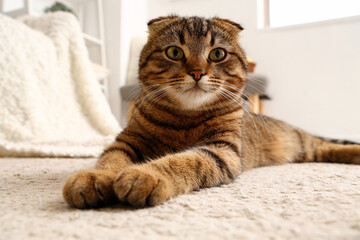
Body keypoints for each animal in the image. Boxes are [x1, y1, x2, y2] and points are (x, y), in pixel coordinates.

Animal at [63, 15, 360, 209]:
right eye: (174, 52)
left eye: (217, 54)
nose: (197, 72)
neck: (184, 117)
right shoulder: (126, 142)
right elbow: (110, 161)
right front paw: (95, 178)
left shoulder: (221, 150)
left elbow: (183, 161)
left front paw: (146, 174)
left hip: (301, 142)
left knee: (326, 145)